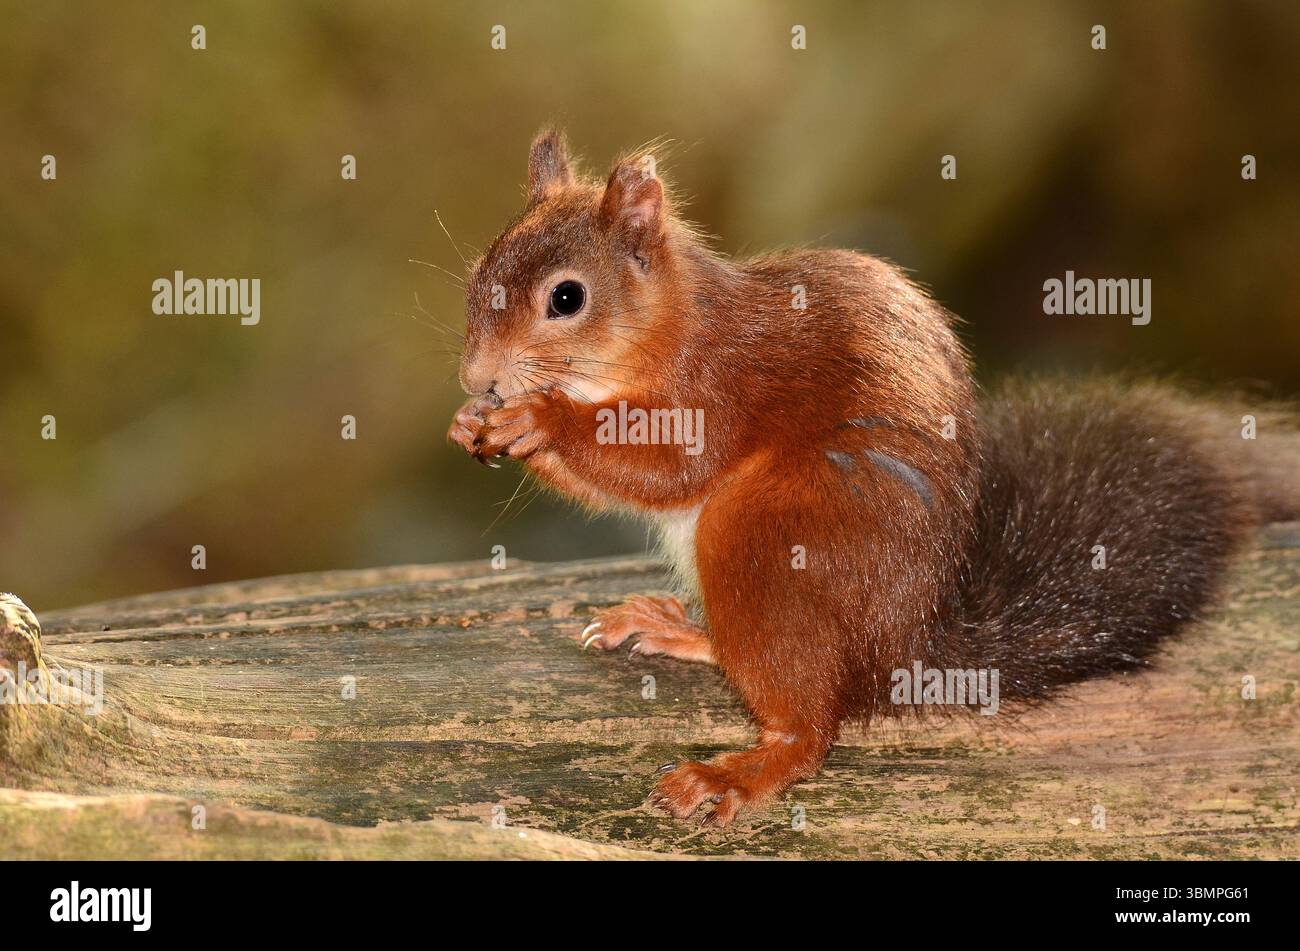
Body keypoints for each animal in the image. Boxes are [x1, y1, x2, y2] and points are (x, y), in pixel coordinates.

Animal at [447, 130, 1300, 827]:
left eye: (566, 297)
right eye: (476, 275)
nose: (477, 378)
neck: (667, 327)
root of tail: (904, 649)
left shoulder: (719, 386)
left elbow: (671, 465)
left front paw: (541, 419)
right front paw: (473, 423)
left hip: (766, 532)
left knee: (808, 727)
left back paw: (739, 770)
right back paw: (676, 627)